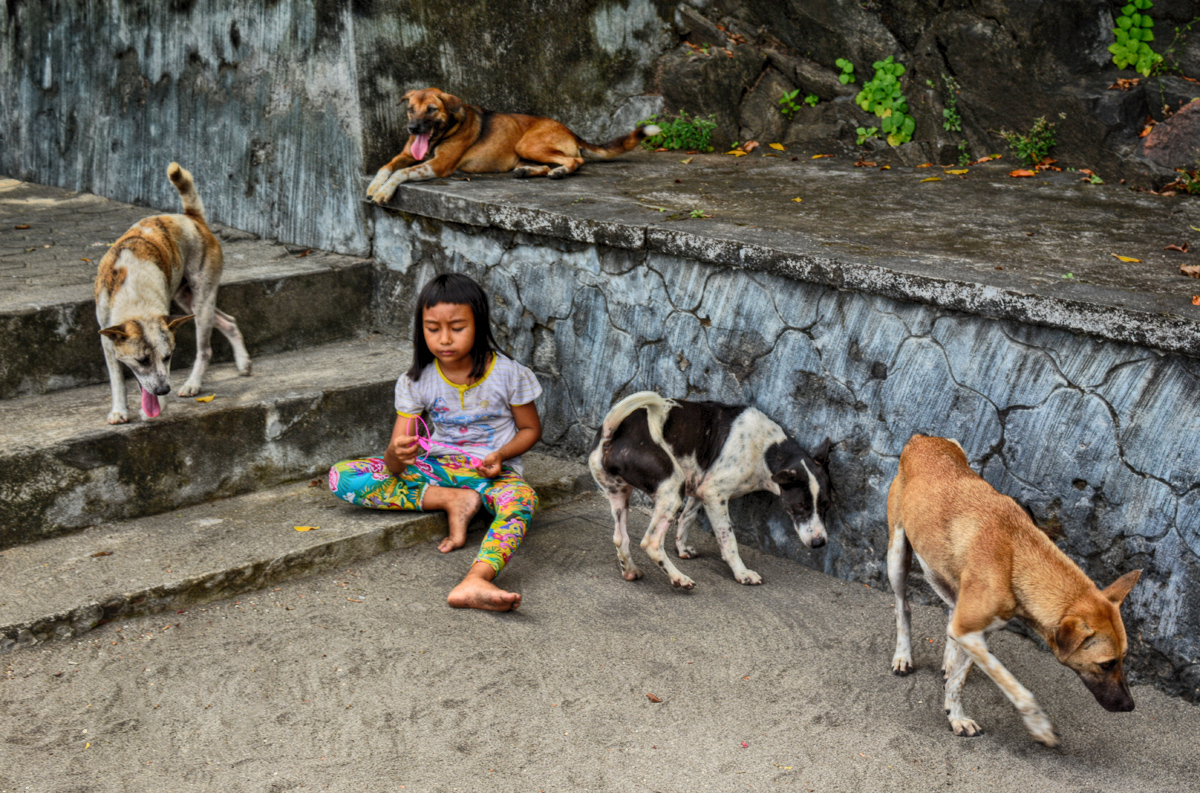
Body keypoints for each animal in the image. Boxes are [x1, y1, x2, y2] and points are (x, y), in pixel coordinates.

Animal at [95, 161, 250, 427]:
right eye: (142, 361)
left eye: (168, 357)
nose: (163, 390)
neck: (136, 300)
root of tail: (192, 218)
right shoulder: (107, 337)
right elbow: (116, 379)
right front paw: (118, 411)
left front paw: (158, 407)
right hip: (186, 300)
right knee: (228, 321)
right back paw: (242, 361)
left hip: (202, 301)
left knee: (205, 349)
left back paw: (193, 384)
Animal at [367, 86, 667, 203]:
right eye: (410, 109)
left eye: (431, 109)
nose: (412, 129)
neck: (443, 131)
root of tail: (569, 130)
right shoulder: (407, 154)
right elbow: (388, 166)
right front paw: (374, 186)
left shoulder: (438, 165)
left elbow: (402, 172)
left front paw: (384, 192)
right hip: (524, 152)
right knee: (545, 166)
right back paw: (528, 171)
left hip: (528, 144)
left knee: (575, 160)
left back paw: (560, 172)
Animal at [585, 391, 830, 587]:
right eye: (800, 506)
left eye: (825, 506)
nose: (820, 543)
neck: (766, 448)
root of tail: (610, 433)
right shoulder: (715, 494)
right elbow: (728, 540)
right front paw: (742, 573)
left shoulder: (700, 490)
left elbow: (687, 519)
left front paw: (682, 549)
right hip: (672, 488)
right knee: (651, 542)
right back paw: (679, 578)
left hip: (621, 495)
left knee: (620, 538)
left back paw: (630, 571)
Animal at [892, 436, 1142, 743]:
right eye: (1106, 664)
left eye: (1124, 658)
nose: (1129, 706)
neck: (1017, 557)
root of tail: (924, 439)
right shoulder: (971, 632)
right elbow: (1014, 686)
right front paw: (1039, 724)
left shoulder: (976, 633)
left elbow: (959, 679)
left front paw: (955, 715)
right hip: (897, 555)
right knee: (902, 607)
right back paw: (903, 655)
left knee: (950, 614)